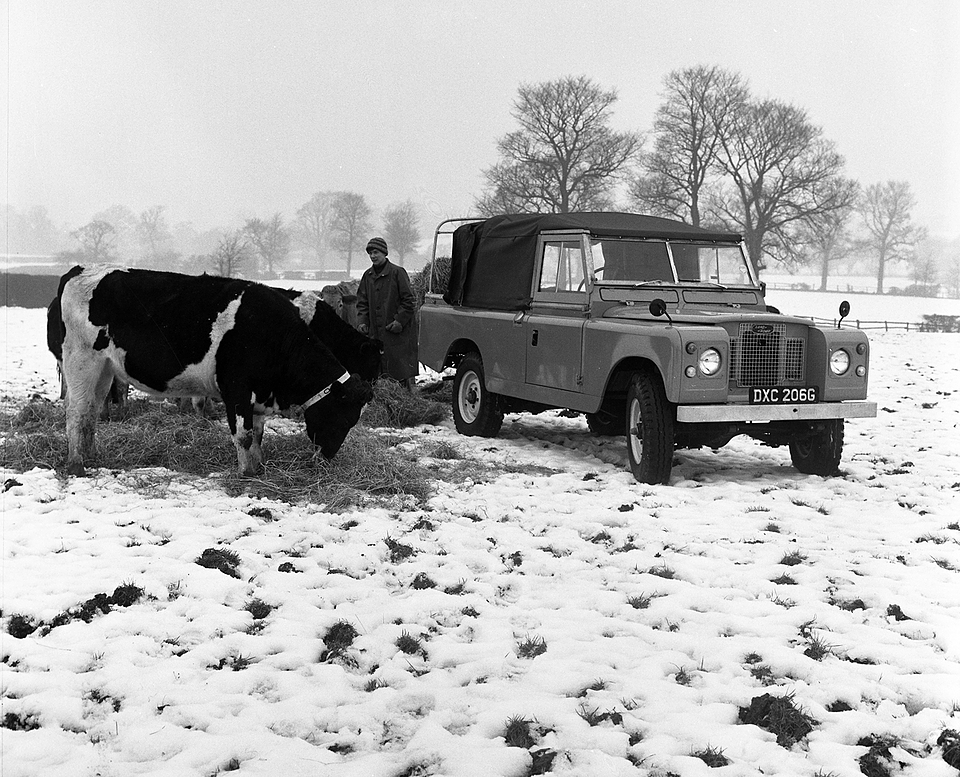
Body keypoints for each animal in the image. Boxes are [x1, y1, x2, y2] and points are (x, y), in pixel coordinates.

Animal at [54, 266, 374, 472]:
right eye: (343, 416)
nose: (328, 457)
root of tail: (80, 271)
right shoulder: (237, 389)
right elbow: (244, 435)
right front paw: (246, 473)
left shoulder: (259, 393)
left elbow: (258, 434)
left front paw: (258, 466)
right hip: (81, 362)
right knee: (77, 412)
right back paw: (76, 464)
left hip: (105, 370)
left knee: (92, 411)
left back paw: (92, 456)